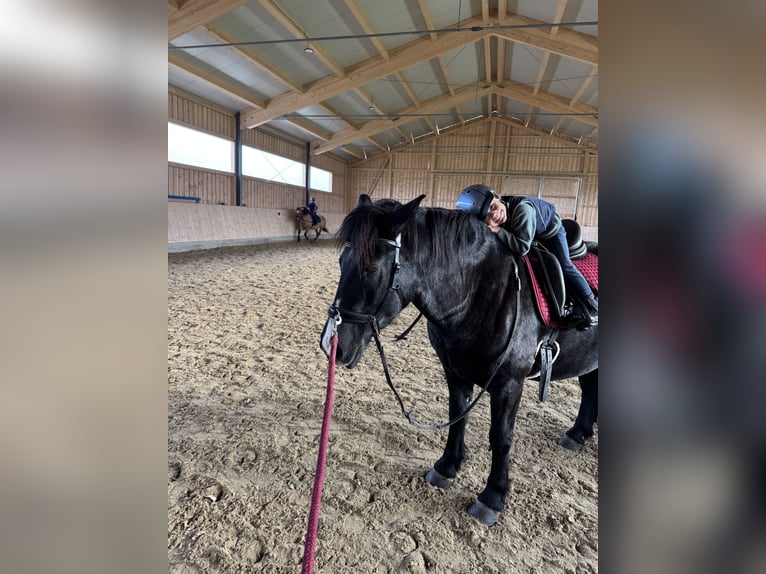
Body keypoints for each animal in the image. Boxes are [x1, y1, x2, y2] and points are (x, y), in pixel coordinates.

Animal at [320, 194, 598, 526]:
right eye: (341, 262)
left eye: (371, 269)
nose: (331, 344)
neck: (480, 289)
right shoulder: (455, 371)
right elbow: (458, 417)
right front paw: (446, 467)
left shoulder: (509, 383)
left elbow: (501, 437)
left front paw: (492, 497)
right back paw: (577, 434)